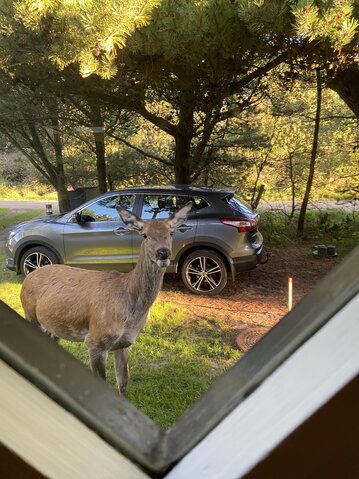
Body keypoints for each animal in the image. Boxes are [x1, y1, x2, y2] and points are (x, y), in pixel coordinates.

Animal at [20, 202, 194, 394]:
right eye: (144, 234)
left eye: (171, 232)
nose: (163, 253)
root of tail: (28, 277)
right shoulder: (95, 341)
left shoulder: (125, 344)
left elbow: (123, 383)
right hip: (30, 315)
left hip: (53, 327)